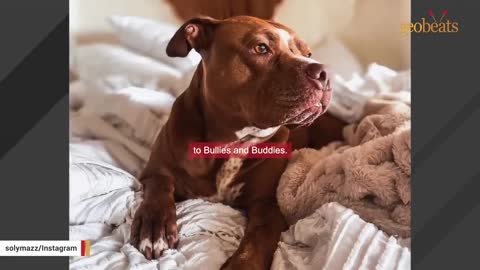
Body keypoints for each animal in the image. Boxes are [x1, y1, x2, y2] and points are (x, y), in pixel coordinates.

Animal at [129, 15, 344, 270]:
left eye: (308, 53)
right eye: (261, 48)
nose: (324, 72)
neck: (230, 142)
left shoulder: (268, 204)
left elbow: (259, 237)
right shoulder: (154, 172)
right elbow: (160, 188)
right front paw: (155, 226)